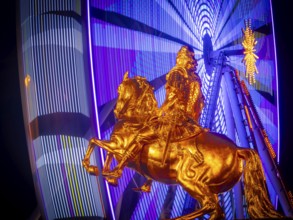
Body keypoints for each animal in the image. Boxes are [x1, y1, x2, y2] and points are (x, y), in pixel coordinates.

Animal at [82, 73, 280, 219]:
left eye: (120, 88)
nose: (117, 111)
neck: (136, 120)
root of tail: (237, 150)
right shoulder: (116, 145)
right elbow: (104, 152)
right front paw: (109, 176)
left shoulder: (121, 146)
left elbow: (95, 142)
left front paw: (95, 168)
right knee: (216, 211)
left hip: (189, 180)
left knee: (211, 206)